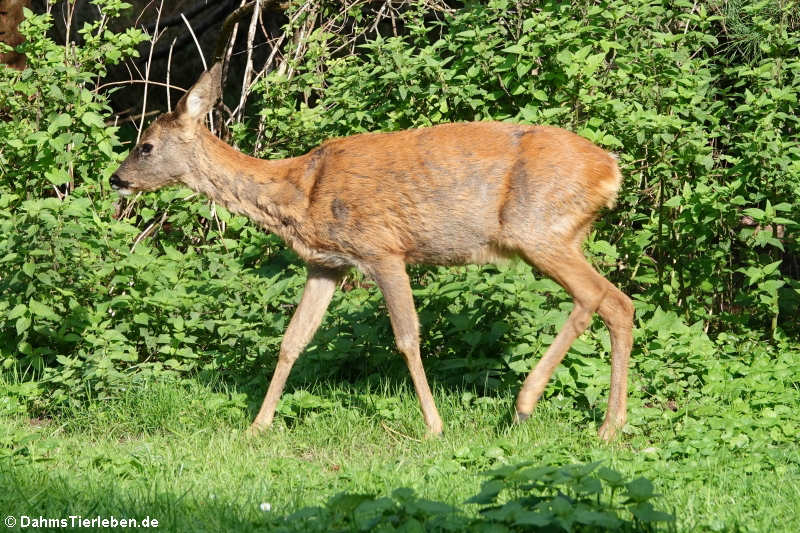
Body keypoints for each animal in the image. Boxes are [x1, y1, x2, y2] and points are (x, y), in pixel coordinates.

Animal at [111, 61, 632, 440]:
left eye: (146, 146)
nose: (117, 179)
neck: (298, 192)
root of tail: (611, 170)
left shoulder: (382, 248)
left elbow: (407, 338)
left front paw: (434, 426)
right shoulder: (326, 264)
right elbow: (292, 340)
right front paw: (258, 425)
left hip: (538, 230)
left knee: (595, 297)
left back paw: (525, 406)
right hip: (559, 235)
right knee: (618, 303)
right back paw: (609, 427)